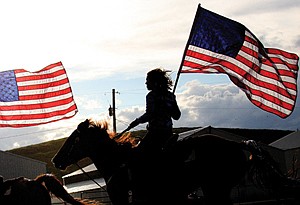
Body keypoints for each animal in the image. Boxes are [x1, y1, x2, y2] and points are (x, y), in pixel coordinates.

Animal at [52, 118, 300, 205]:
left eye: (73, 139)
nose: (56, 159)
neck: (118, 161)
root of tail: (237, 144)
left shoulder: (121, 196)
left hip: (216, 187)